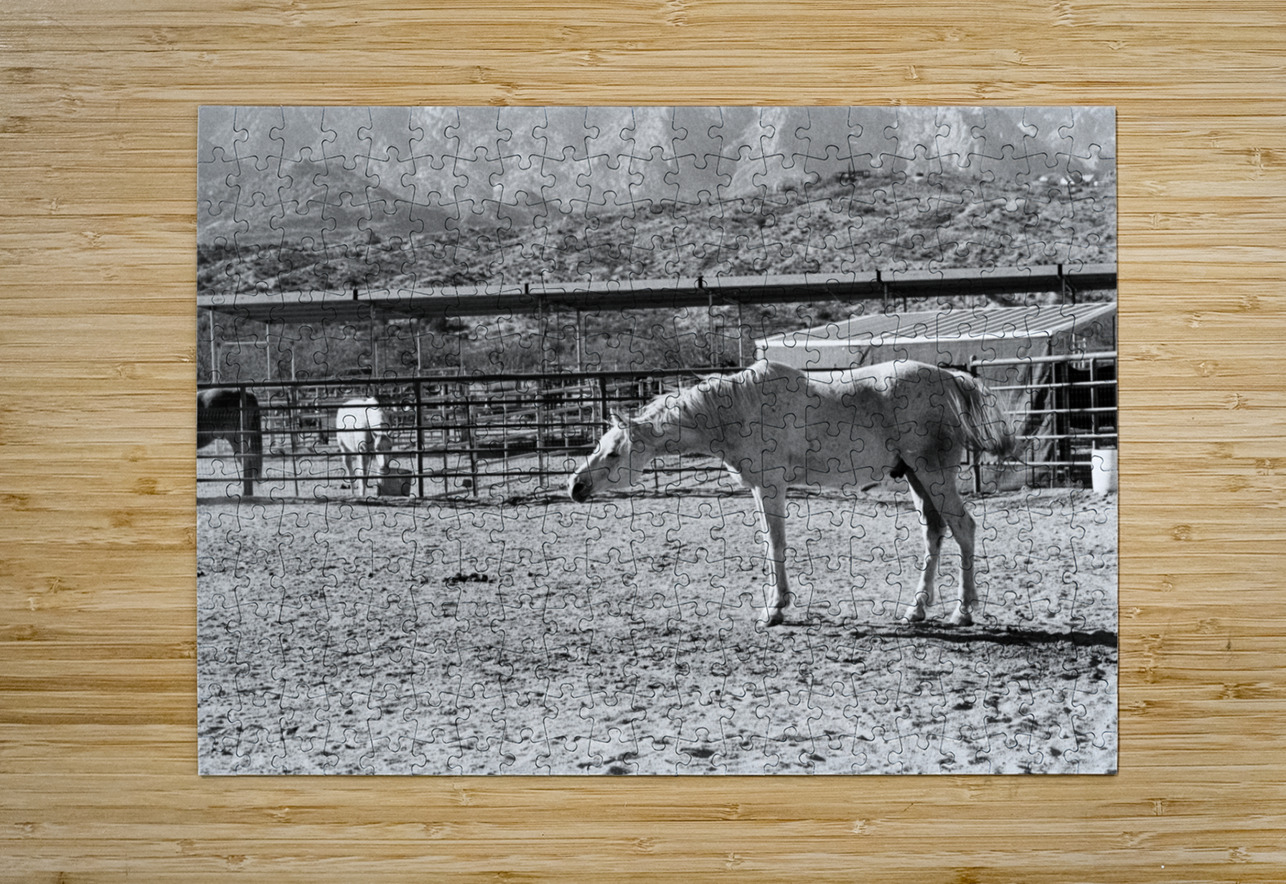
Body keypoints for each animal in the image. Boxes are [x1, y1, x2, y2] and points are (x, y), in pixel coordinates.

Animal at [567, 359, 1017, 628]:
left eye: (614, 452)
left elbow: (777, 544)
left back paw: (963, 611)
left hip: (934, 475)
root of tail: (949, 378)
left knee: (964, 529)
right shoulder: (759, 489)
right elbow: (771, 544)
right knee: (935, 535)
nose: (575, 486)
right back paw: (916, 609)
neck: (737, 409)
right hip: (917, 479)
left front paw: (775, 610)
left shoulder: (771, 487)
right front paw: (776, 605)